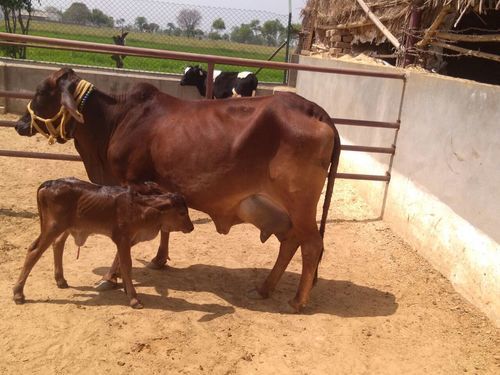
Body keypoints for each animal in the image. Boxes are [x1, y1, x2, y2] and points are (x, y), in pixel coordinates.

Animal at [13, 178, 193, 310]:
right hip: (53, 227)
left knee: (58, 244)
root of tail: (49, 183)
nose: (191, 227)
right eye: (182, 213)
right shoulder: (122, 238)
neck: (139, 208)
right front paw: (134, 298)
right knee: (34, 251)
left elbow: (119, 261)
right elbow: (126, 265)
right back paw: (18, 294)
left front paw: (124, 288)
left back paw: (61, 280)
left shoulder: (129, 240)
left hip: (65, 227)